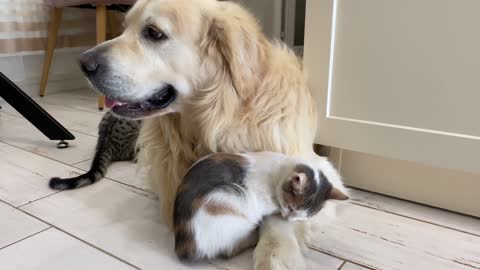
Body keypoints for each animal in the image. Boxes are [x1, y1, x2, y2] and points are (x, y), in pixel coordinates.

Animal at [174, 152, 346, 262]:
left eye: (304, 216)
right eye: (291, 208)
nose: (289, 219)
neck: (278, 173)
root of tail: (184, 245)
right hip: (230, 202)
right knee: (229, 251)